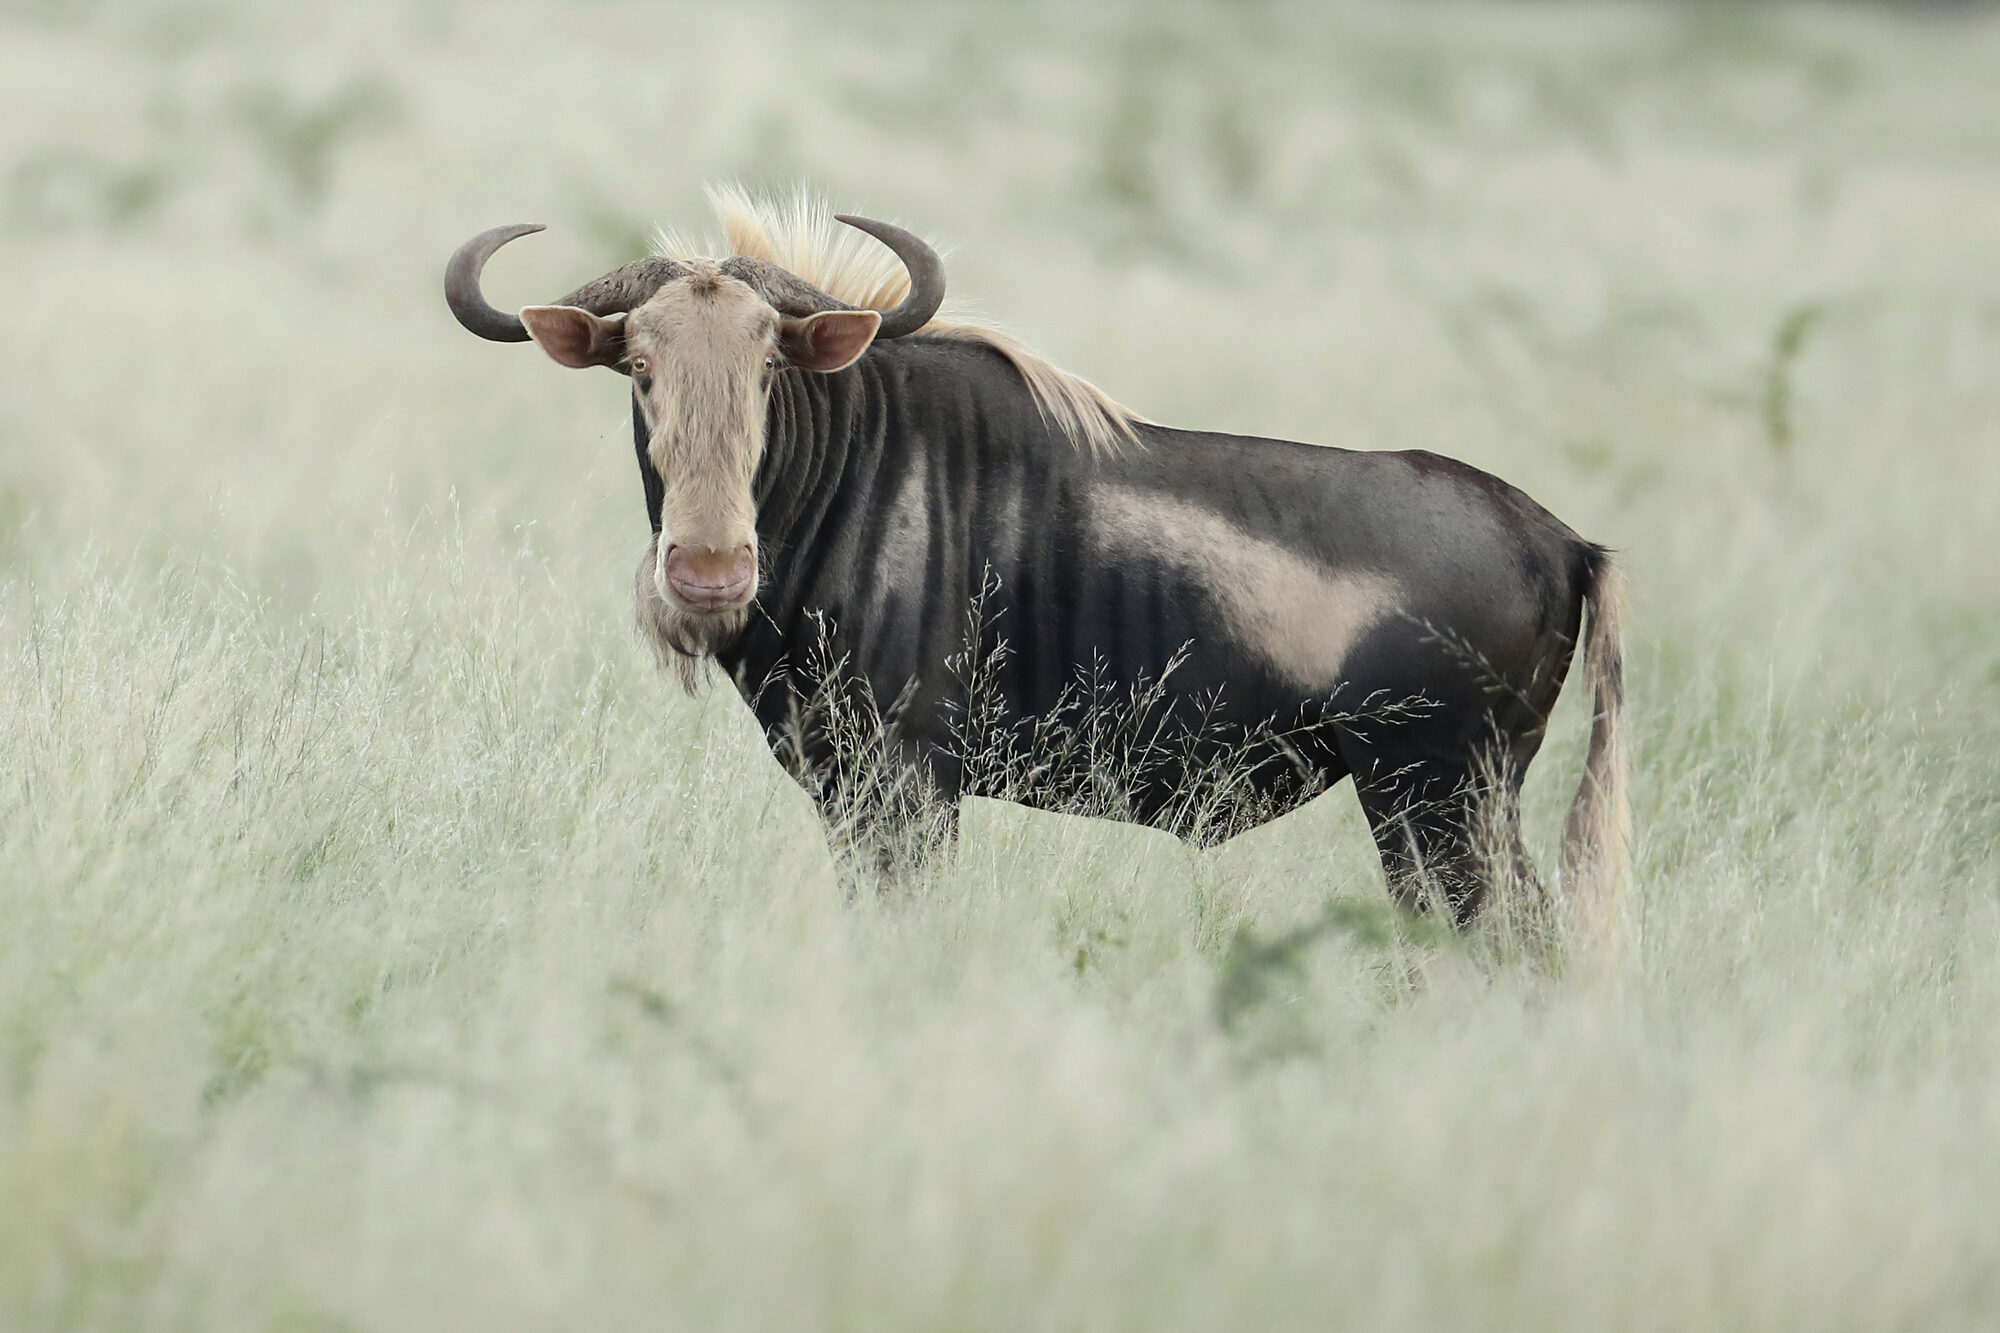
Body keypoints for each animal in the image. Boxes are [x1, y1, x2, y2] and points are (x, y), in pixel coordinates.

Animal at [444, 191, 1628, 940]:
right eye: (639, 367)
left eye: (771, 366)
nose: (706, 573)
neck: (855, 470)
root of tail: (1562, 538)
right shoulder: (846, 785)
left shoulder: (904, 782)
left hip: (1434, 800)